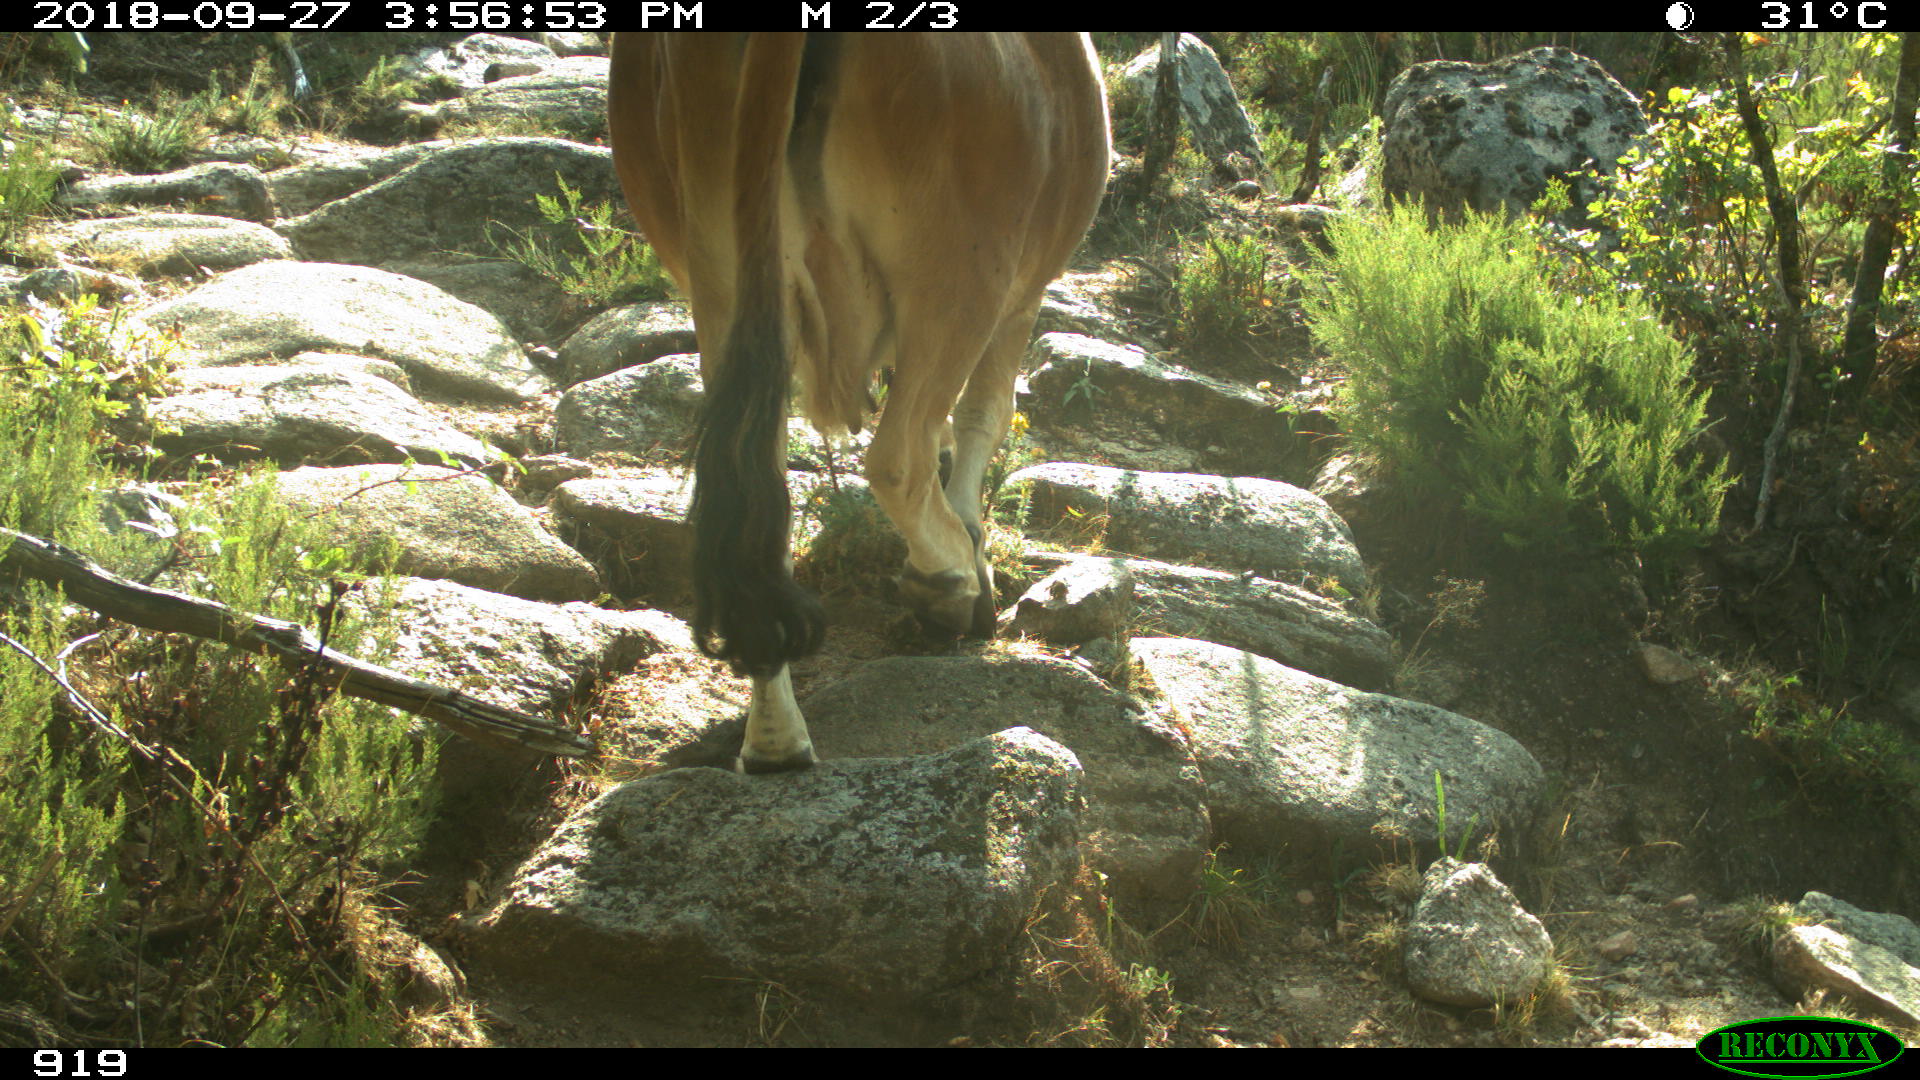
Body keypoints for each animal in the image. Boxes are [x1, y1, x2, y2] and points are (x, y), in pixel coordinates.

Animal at [607, 33, 1111, 772]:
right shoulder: (1023, 293)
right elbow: (982, 416)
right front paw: (970, 545)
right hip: (961, 273)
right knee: (896, 459)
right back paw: (950, 583)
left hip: (719, 266)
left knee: (754, 493)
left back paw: (775, 739)